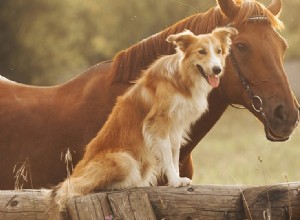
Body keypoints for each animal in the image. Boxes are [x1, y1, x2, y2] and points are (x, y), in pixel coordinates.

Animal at [48, 25, 237, 213]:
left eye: (219, 51)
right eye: (202, 51)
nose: (217, 70)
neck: (181, 79)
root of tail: (76, 173)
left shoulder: (176, 126)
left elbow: (174, 154)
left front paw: (177, 179)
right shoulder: (159, 124)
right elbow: (167, 155)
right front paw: (175, 181)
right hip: (125, 160)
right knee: (79, 188)